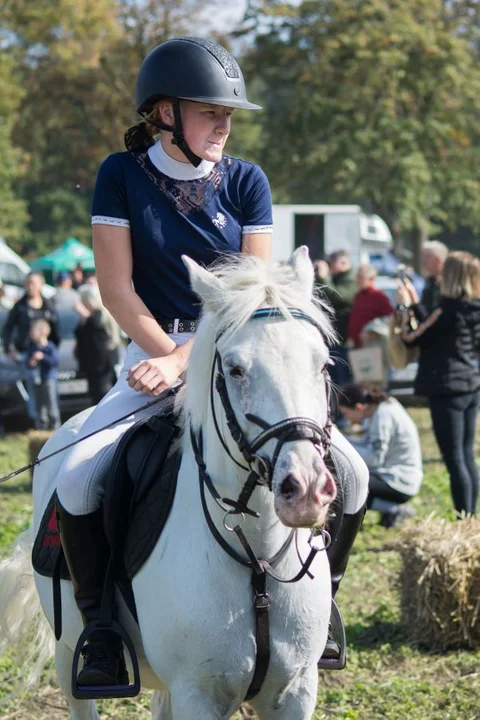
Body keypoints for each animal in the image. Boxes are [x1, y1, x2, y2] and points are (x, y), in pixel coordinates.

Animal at [0, 246, 338, 716]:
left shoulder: (295, 691)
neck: (257, 557)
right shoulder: (198, 693)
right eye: (235, 369)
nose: (304, 490)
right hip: (69, 653)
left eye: (322, 364)